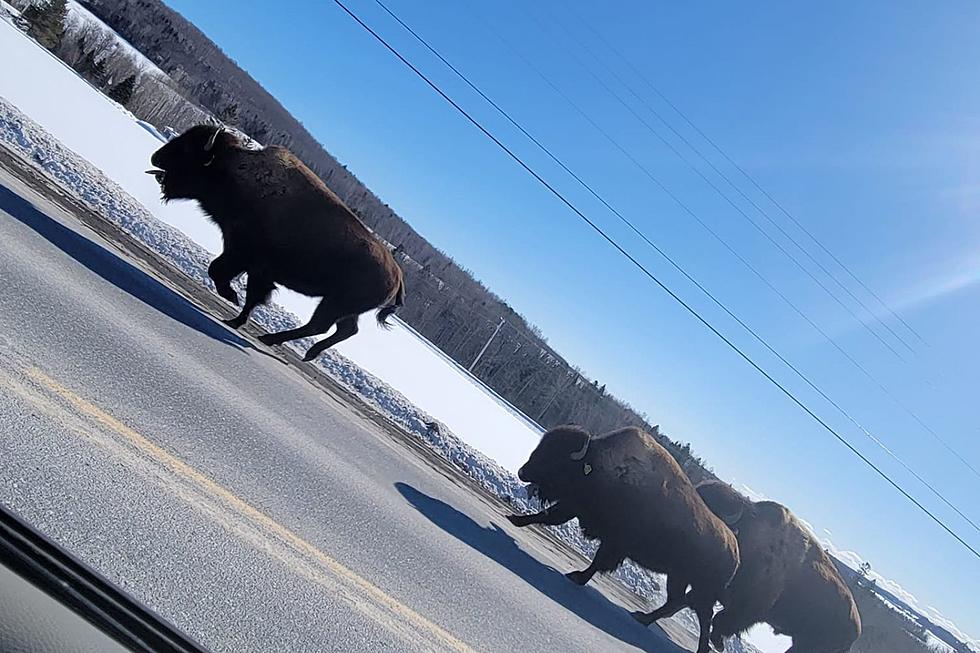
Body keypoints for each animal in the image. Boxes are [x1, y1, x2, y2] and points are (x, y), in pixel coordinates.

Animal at [146, 121, 406, 356]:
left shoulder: (241, 254)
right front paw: (235, 318)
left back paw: (272, 340)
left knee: (321, 326)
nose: (156, 158)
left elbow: (218, 271)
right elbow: (250, 295)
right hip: (341, 307)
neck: (234, 168)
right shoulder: (256, 268)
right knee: (344, 329)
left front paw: (231, 296)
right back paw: (303, 351)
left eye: (188, 149)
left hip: (335, 303)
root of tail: (398, 276)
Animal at [506, 422, 736, 652]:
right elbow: (548, 516)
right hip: (678, 578)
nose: (522, 472)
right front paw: (514, 519)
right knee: (676, 602)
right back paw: (642, 617)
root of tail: (735, 554)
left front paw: (577, 576)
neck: (597, 464)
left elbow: (597, 561)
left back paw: (700, 647)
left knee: (703, 615)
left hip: (701, 591)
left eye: (556, 456)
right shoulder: (575, 507)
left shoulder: (613, 542)